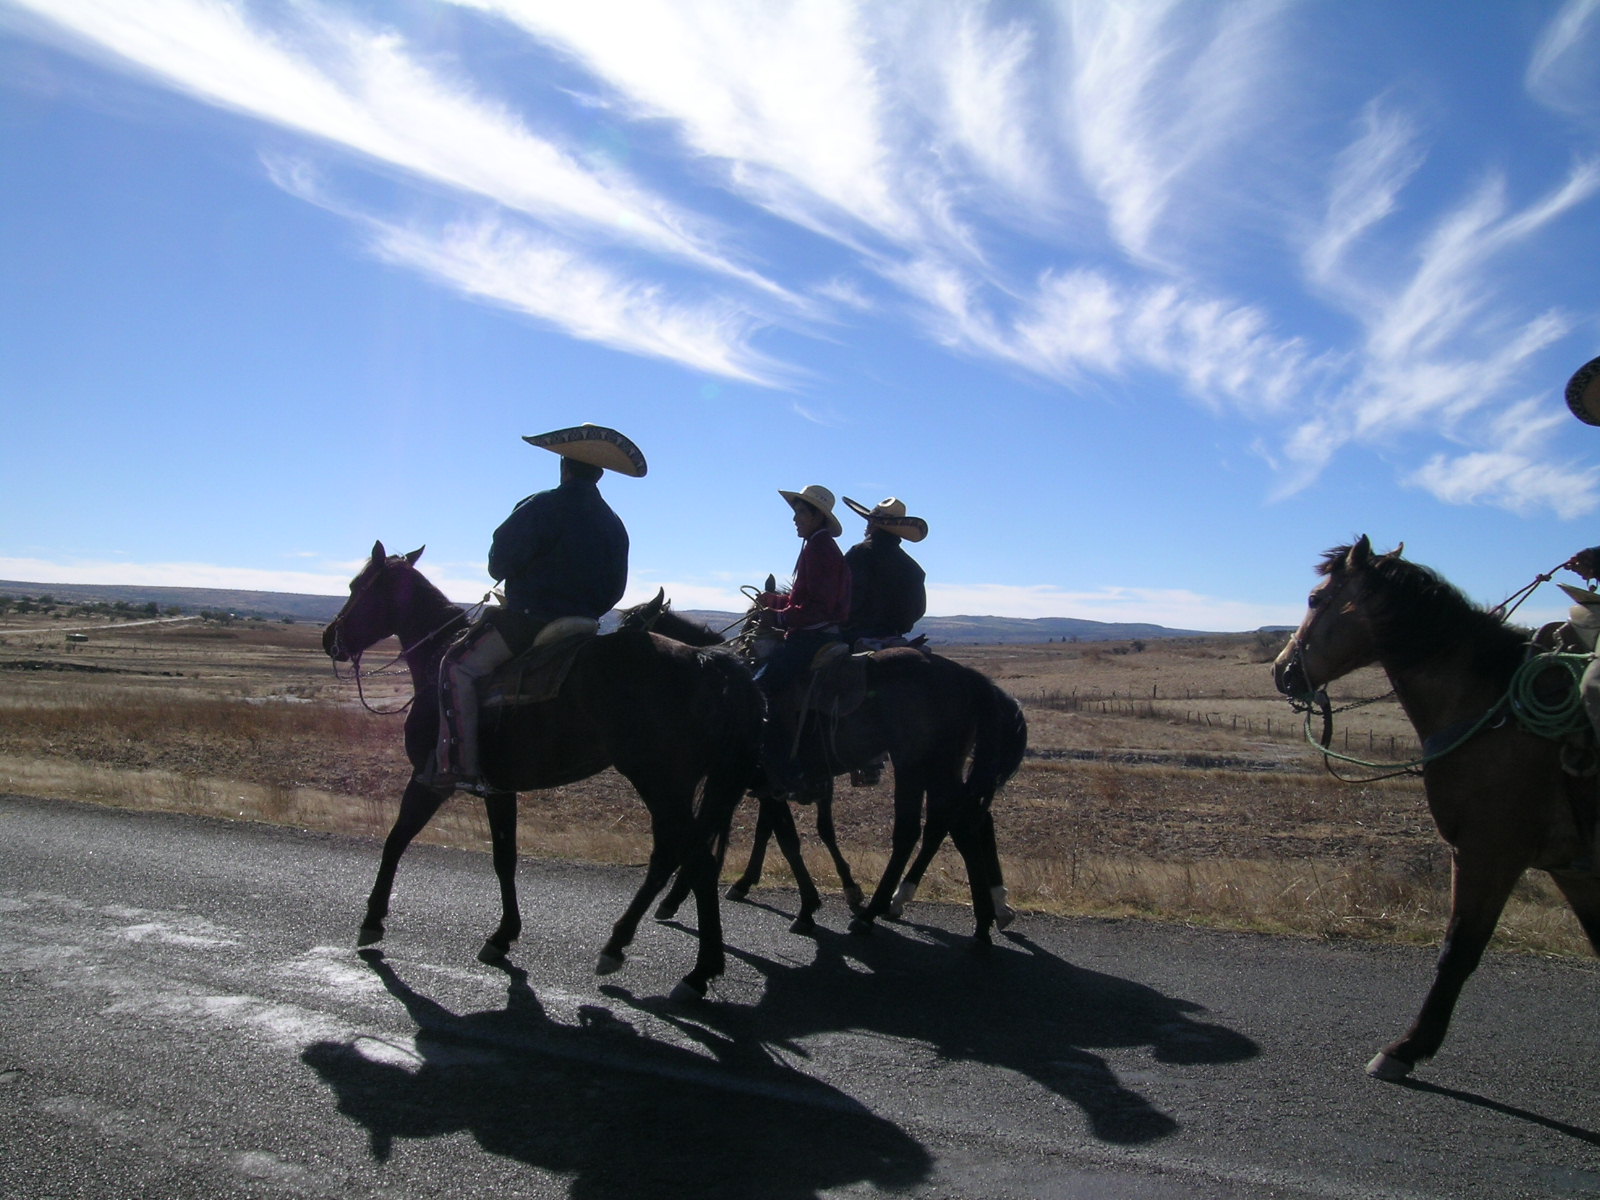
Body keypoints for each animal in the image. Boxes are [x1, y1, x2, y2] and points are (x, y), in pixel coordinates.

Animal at [321, 542, 763, 1000]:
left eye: (357, 586)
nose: (329, 638)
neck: (435, 658)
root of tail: (708, 662)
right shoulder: (499, 789)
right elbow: (504, 856)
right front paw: (502, 936)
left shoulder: (430, 780)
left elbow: (395, 840)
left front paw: (372, 920)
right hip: (675, 786)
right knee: (669, 855)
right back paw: (617, 946)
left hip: (659, 783)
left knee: (697, 861)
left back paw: (698, 972)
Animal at [621, 591, 1028, 947]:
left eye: (628, 626)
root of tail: (967, 678)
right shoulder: (767, 782)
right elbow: (768, 831)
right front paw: (747, 885)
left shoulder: (762, 778)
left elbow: (779, 837)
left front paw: (808, 906)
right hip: (937, 766)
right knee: (961, 822)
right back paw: (980, 917)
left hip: (919, 764)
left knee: (925, 829)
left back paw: (894, 914)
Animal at [1272, 536, 1600, 1079]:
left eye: (1316, 599)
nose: (1282, 671)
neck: (1492, 709)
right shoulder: (1572, 869)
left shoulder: (1486, 853)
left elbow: (1458, 951)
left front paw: (1406, 1048)